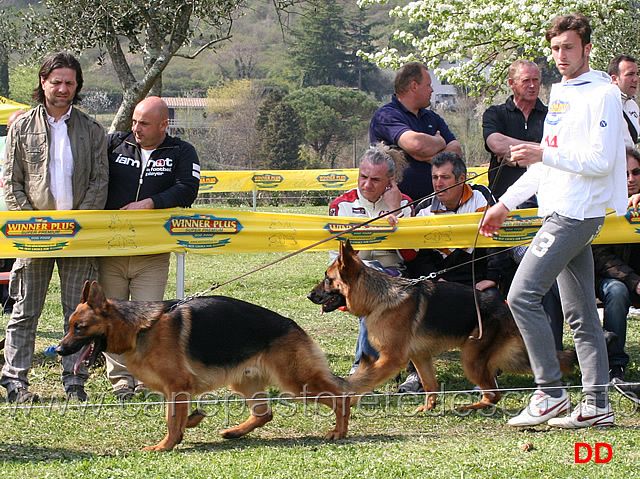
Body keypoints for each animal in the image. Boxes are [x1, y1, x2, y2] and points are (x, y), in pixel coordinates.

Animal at [56, 282, 350, 450]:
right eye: (69, 327)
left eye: (79, 328)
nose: (58, 350)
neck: (140, 328)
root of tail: (293, 325)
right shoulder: (176, 392)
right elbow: (176, 416)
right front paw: (190, 423)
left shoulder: (177, 386)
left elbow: (171, 420)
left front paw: (165, 446)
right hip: (244, 381)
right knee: (265, 413)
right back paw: (234, 432)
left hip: (297, 382)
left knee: (342, 397)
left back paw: (340, 431)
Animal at [306, 244, 576, 412]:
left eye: (328, 279)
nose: (309, 295)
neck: (379, 298)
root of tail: (506, 308)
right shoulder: (420, 357)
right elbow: (429, 385)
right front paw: (429, 407)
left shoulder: (392, 359)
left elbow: (365, 381)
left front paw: (348, 400)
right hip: (508, 359)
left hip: (471, 360)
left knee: (494, 394)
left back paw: (470, 407)